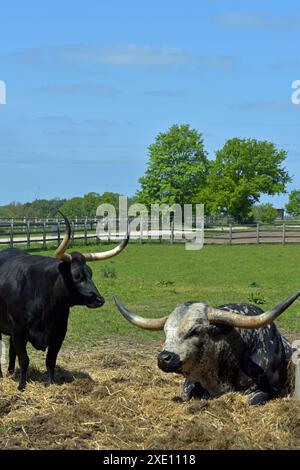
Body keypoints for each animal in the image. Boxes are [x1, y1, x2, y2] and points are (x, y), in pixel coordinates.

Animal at [0, 217, 127, 390]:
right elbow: (24, 359)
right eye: (76, 276)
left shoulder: (59, 333)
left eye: (90, 274)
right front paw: (21, 386)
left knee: (12, 350)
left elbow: (50, 360)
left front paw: (50, 383)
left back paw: (11, 372)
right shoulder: (18, 331)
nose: (99, 300)